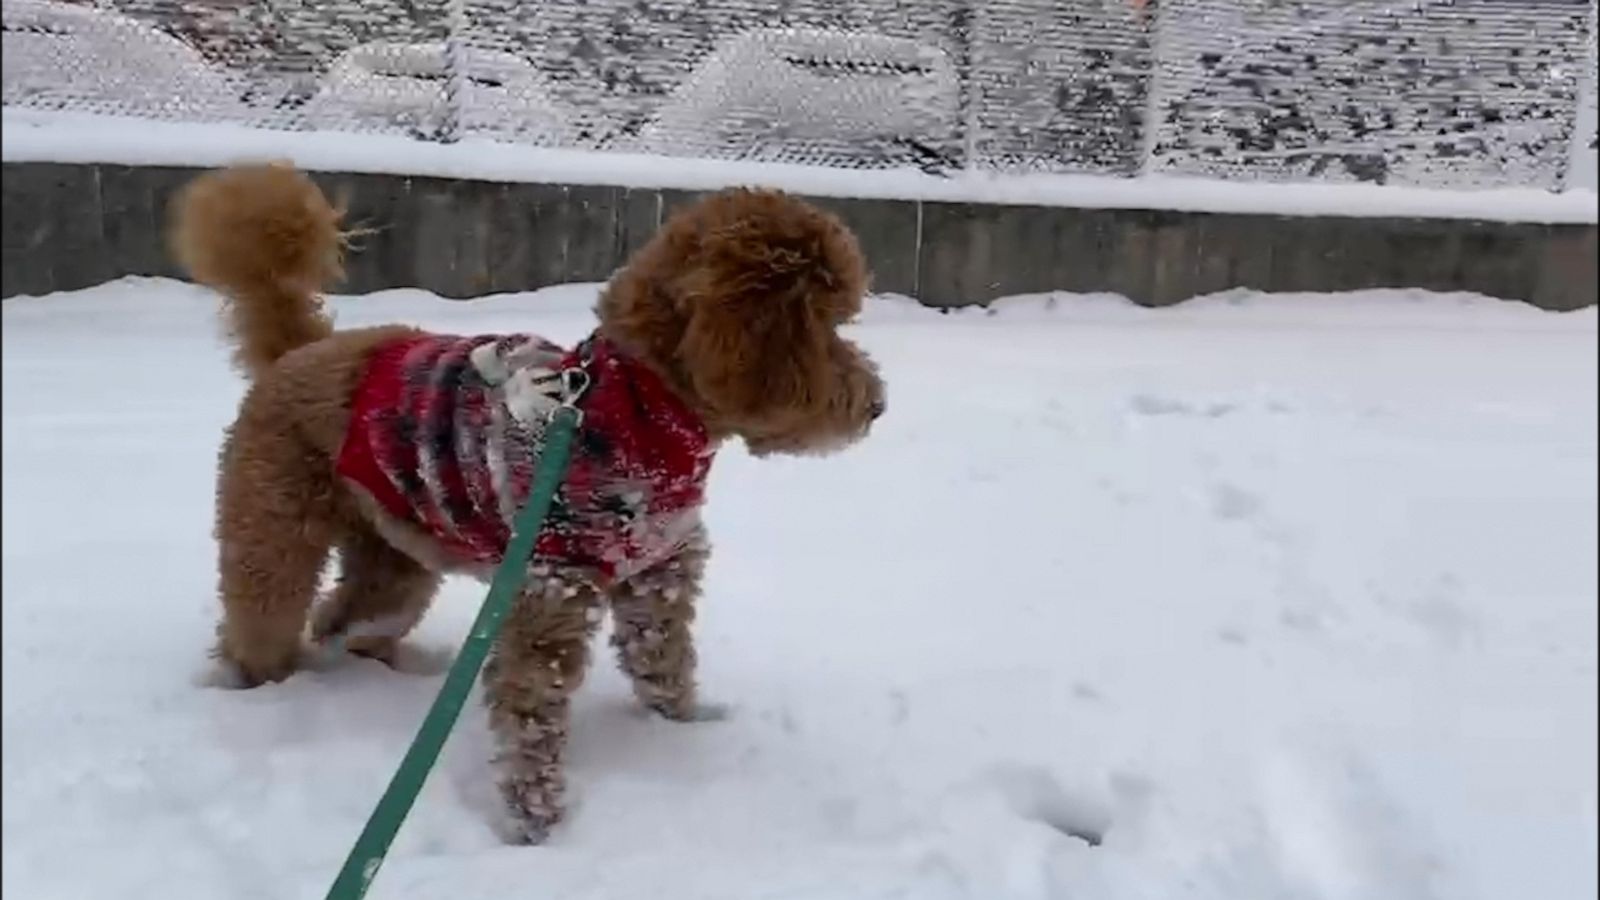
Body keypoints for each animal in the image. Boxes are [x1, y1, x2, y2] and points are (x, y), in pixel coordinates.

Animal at [175, 162, 889, 839]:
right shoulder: (550, 591)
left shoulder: (658, 575)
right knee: (263, 625)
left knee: (347, 621)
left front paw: (683, 730)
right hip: (273, 533)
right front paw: (533, 823)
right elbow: (532, 715)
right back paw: (251, 690)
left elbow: (663, 663)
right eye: (827, 325)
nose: (877, 405)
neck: (636, 407)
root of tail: (301, 349)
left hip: (394, 553)